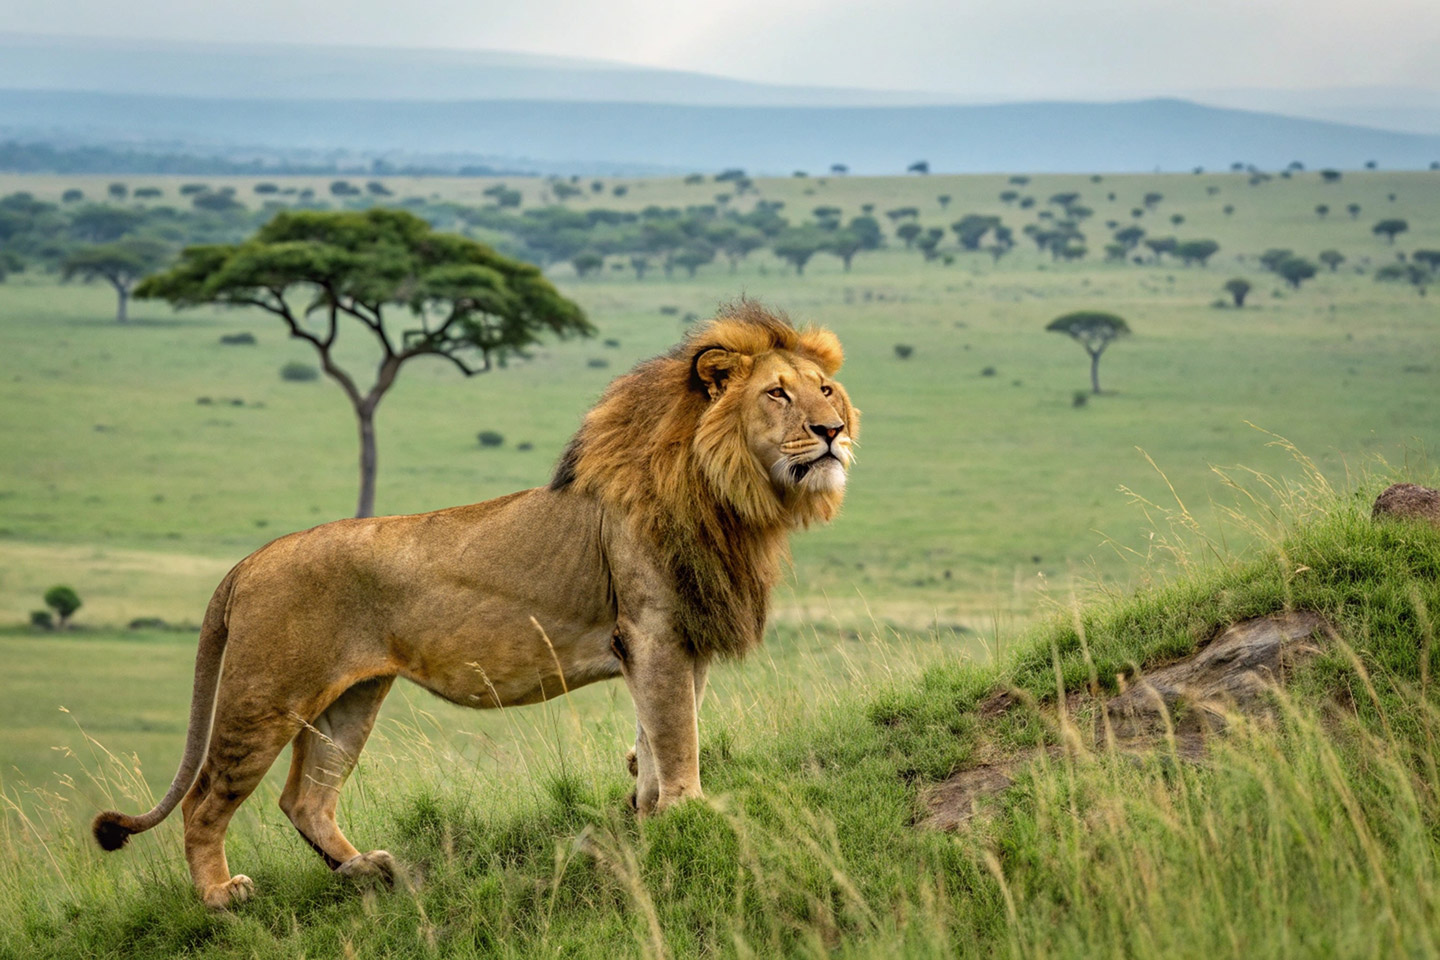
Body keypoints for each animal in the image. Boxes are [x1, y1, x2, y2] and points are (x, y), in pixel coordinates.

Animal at [91, 301, 858, 908]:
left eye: (826, 390)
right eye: (778, 396)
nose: (832, 431)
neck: (728, 491)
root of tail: (249, 562)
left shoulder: (678, 637)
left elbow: (655, 734)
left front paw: (645, 811)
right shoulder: (655, 631)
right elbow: (677, 734)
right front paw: (689, 814)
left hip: (353, 697)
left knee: (302, 797)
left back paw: (365, 871)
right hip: (265, 696)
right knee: (205, 802)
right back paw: (220, 896)